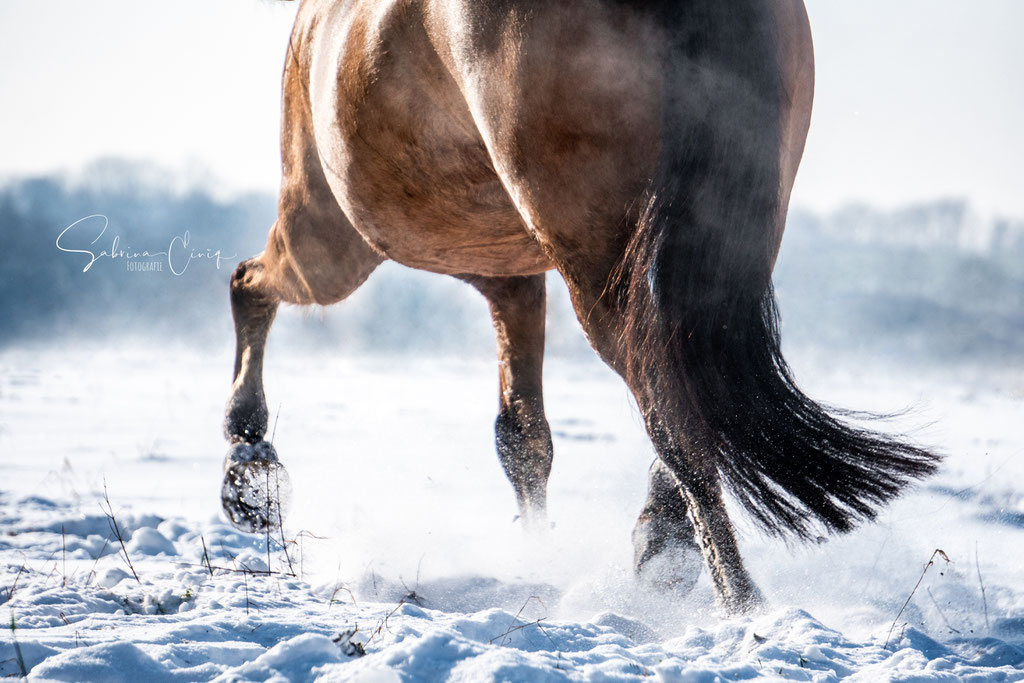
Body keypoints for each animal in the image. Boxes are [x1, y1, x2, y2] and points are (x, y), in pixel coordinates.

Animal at [220, 0, 937, 614]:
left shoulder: (334, 219)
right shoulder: (509, 273)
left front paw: (248, 467)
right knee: (692, 378)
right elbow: (523, 435)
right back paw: (672, 550)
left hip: (357, 242)